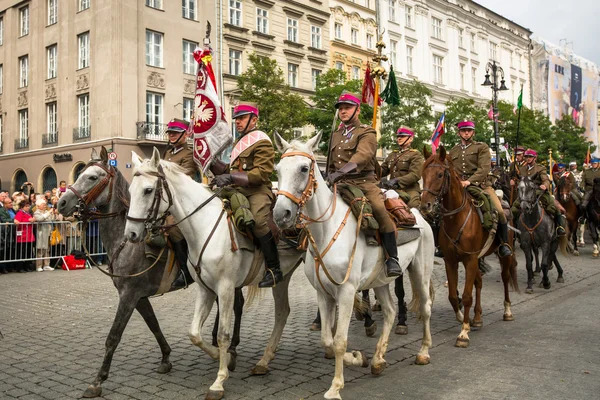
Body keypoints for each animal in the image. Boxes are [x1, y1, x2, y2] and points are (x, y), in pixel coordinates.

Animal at [56, 148, 244, 398]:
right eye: (80, 173)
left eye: (92, 177)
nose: (61, 203)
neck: (125, 242)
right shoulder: (137, 296)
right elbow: (153, 324)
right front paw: (166, 357)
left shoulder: (129, 295)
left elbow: (113, 336)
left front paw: (98, 380)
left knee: (237, 305)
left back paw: (231, 347)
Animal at [125, 150, 304, 400]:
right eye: (131, 190)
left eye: (148, 190)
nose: (131, 233)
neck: (204, 226)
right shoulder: (205, 289)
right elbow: (194, 333)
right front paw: (225, 358)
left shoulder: (226, 288)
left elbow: (222, 334)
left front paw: (219, 382)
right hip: (283, 278)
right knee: (282, 312)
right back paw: (263, 362)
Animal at [274, 134, 436, 400]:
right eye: (277, 169)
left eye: (304, 168)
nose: (281, 214)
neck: (326, 230)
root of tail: (418, 213)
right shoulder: (324, 294)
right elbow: (327, 340)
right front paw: (359, 358)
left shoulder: (347, 292)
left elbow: (340, 340)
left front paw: (335, 386)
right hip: (380, 281)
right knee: (390, 311)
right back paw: (378, 359)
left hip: (420, 272)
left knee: (425, 307)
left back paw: (423, 352)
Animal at [420, 146, 516, 346]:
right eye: (423, 173)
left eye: (440, 174)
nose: (425, 205)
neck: (457, 218)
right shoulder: (451, 261)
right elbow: (453, 295)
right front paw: (463, 319)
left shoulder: (470, 259)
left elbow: (466, 296)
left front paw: (463, 333)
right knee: (478, 283)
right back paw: (477, 318)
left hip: (504, 254)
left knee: (504, 277)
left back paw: (507, 311)